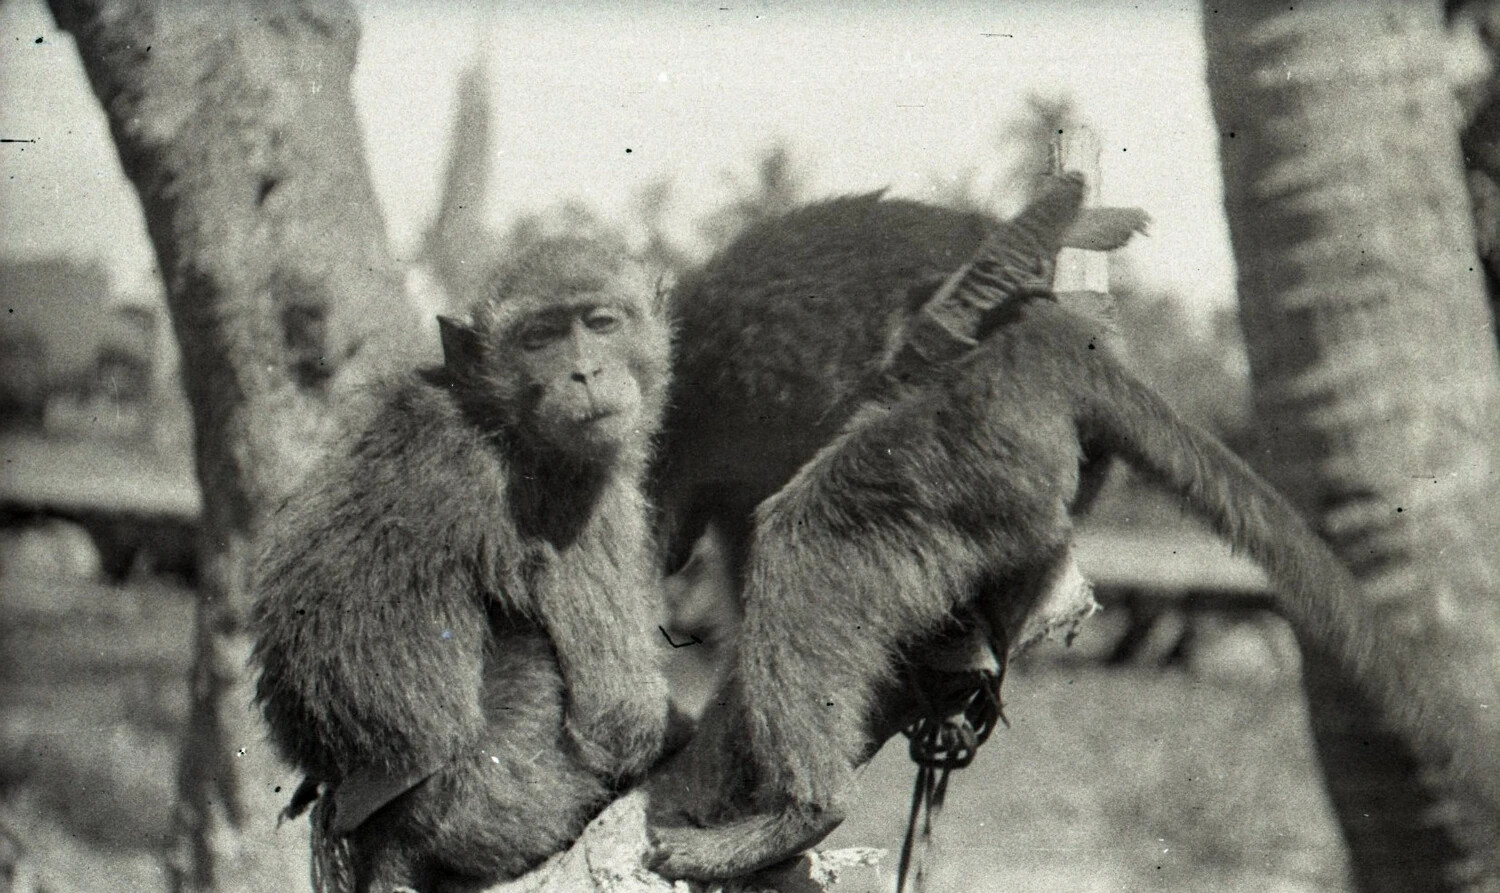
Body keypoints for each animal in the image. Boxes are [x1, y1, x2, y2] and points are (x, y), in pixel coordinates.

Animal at [250, 236, 676, 892]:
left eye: (601, 323)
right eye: (539, 339)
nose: (585, 372)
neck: (496, 416)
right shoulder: (577, 499)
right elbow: (618, 715)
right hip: (505, 798)